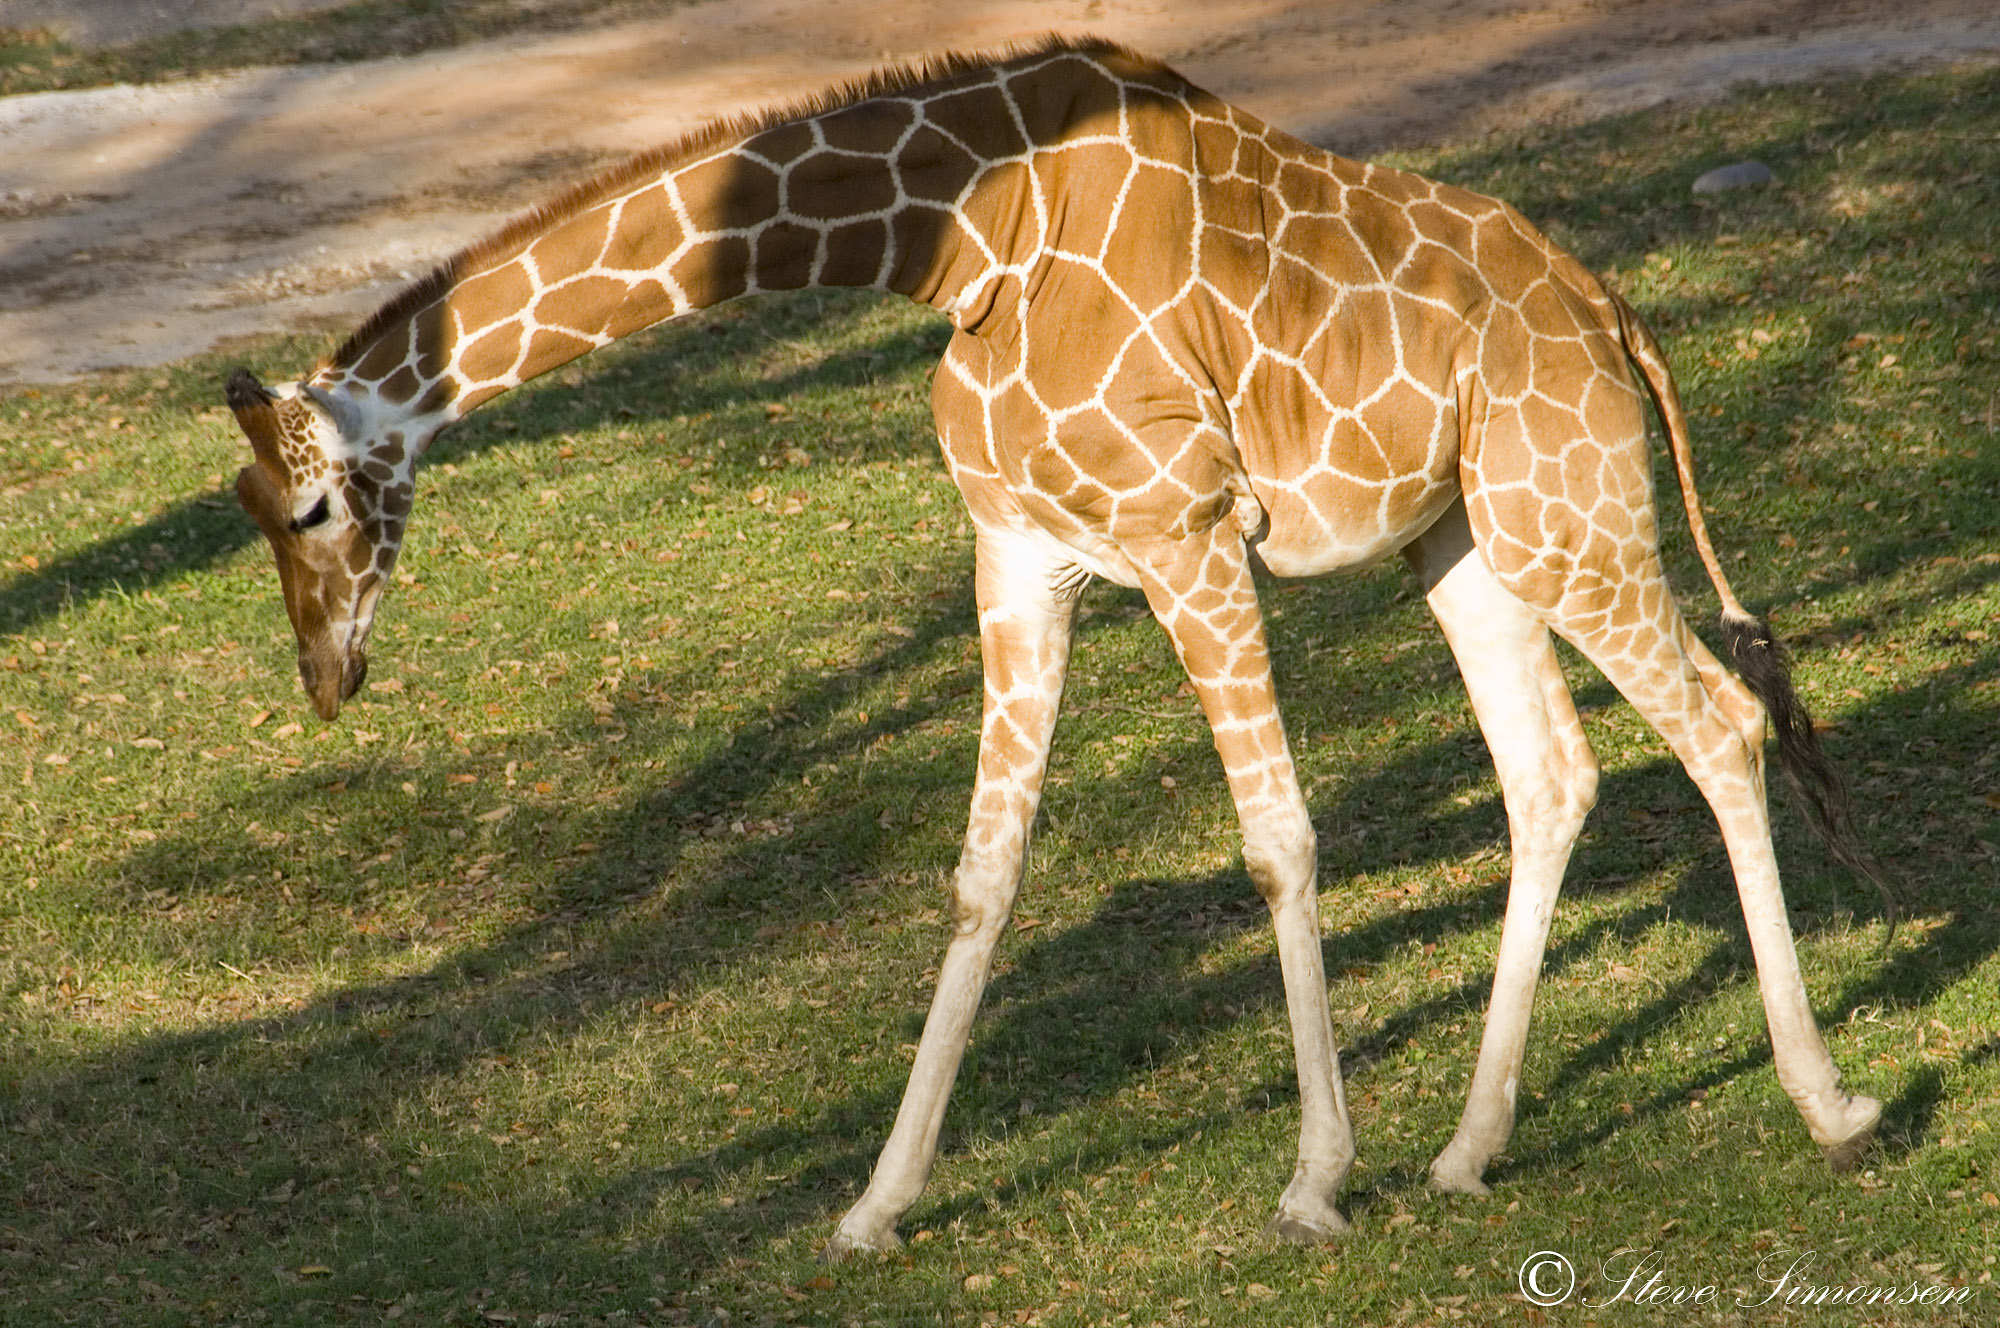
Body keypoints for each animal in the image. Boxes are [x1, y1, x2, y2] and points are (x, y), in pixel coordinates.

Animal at [227, 36, 1880, 1248]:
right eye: (246, 512)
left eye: (308, 507)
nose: (326, 678)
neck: (960, 240)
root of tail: (1612, 312)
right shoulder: (1020, 556)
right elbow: (985, 872)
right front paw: (875, 1206)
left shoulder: (1188, 535)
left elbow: (1278, 839)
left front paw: (1312, 1181)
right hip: (1464, 539)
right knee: (1555, 776)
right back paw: (1472, 1152)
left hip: (1565, 513)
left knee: (1720, 725)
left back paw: (1829, 1106)